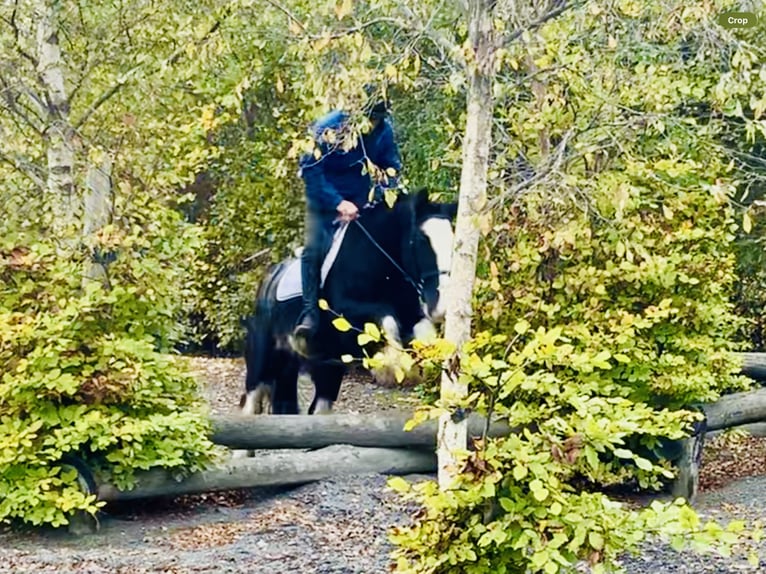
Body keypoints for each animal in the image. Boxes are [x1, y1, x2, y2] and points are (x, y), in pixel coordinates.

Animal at [240, 189, 456, 418]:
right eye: (420, 240)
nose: (441, 307)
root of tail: (269, 279)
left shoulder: (412, 315)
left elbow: (424, 333)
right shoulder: (346, 314)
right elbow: (386, 318)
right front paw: (393, 366)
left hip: (324, 370)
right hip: (263, 360)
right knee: (252, 399)